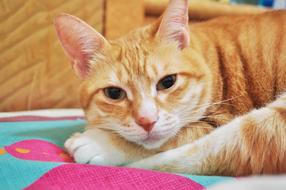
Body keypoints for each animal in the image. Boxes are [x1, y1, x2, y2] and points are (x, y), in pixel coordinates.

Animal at [54, 0, 286, 176]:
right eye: (114, 93)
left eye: (167, 82)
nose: (147, 121)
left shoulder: (219, 120)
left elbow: (174, 138)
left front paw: (101, 142)